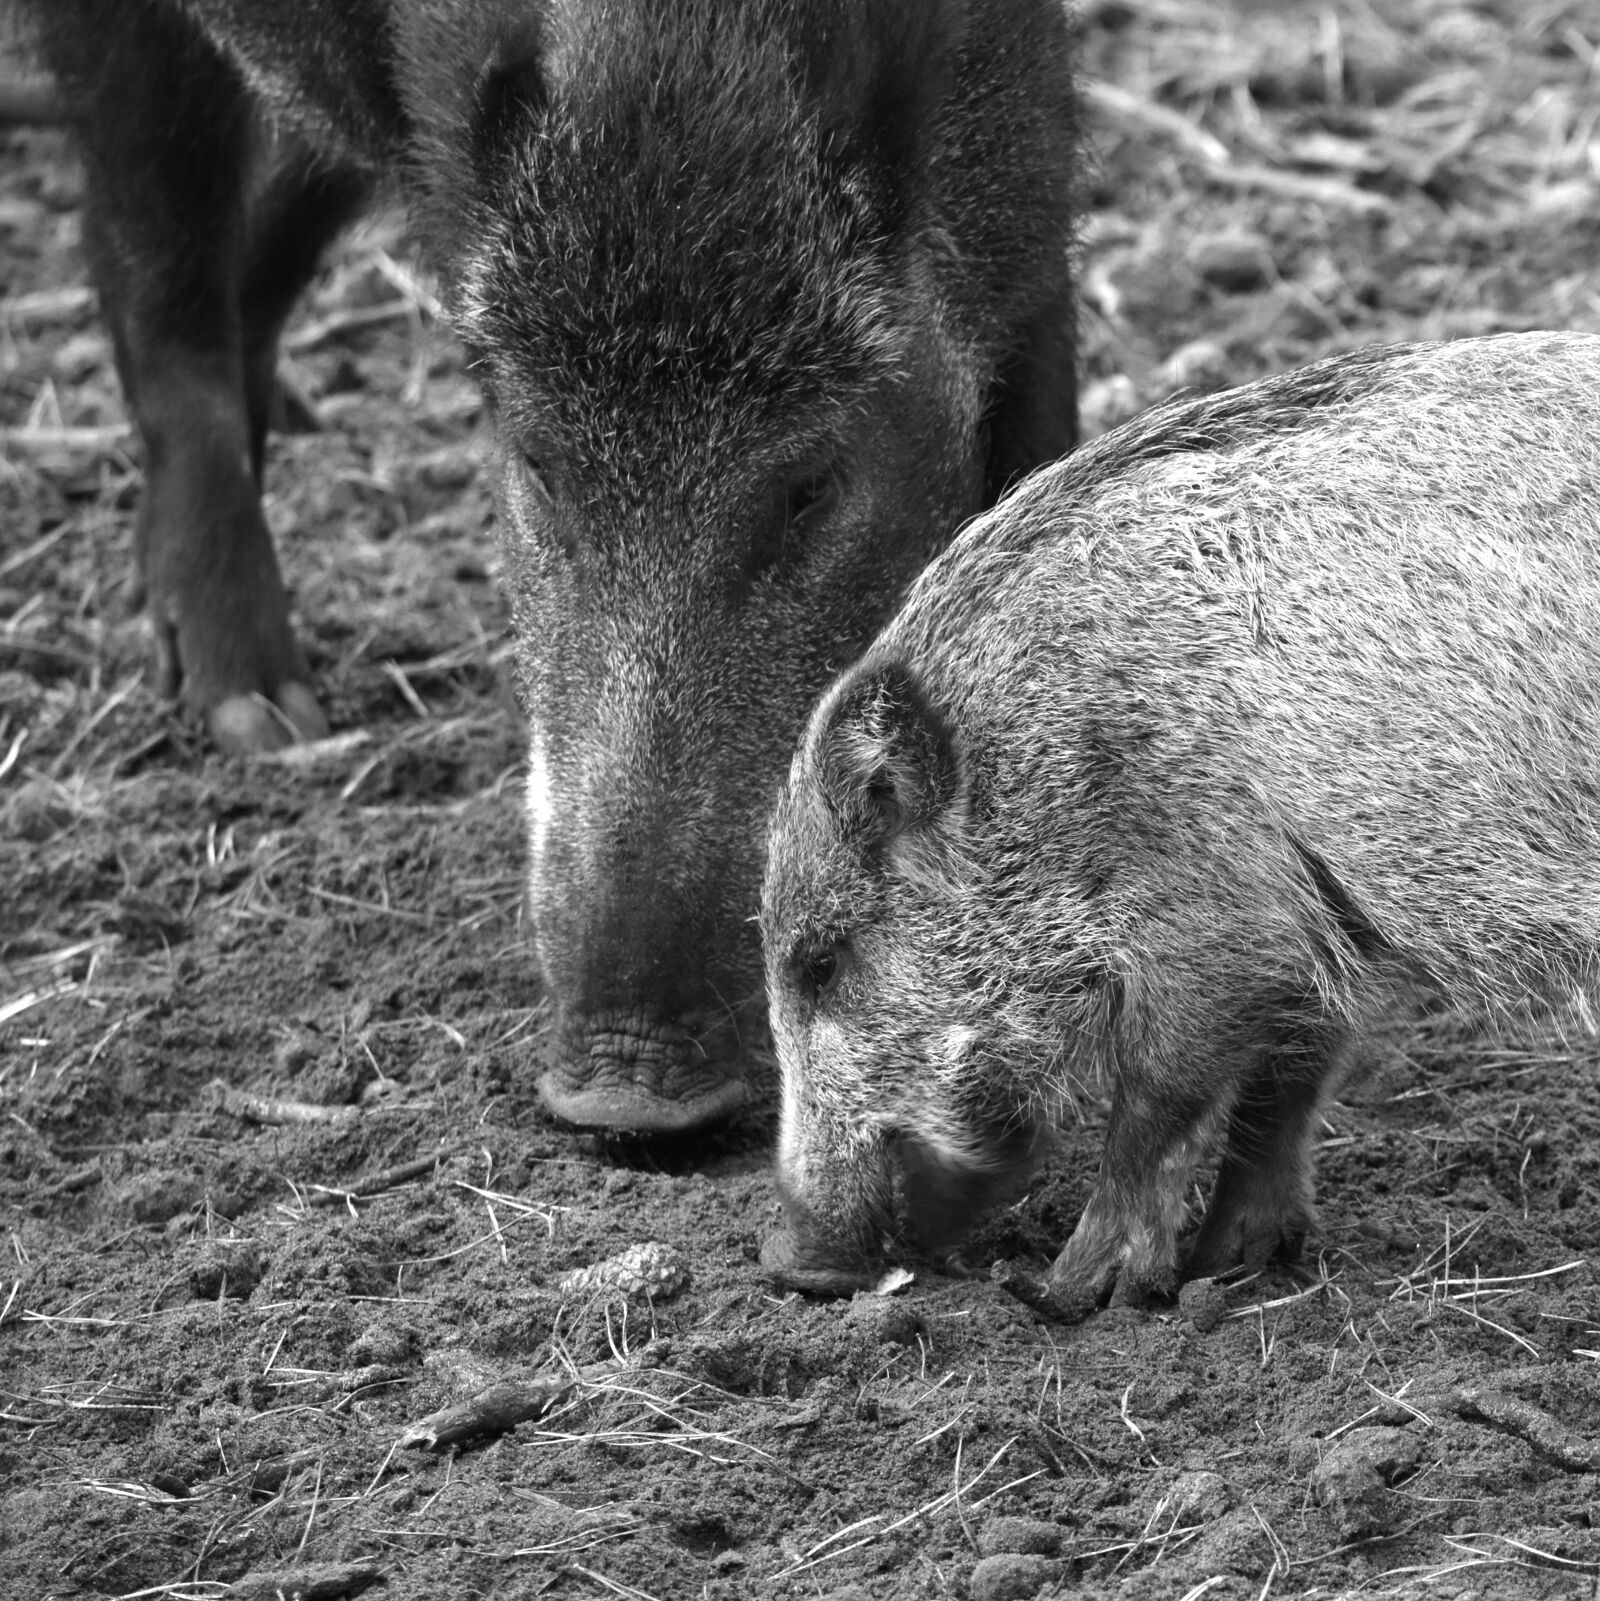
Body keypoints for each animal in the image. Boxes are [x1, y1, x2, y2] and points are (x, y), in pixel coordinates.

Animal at [17, 0, 1081, 1131]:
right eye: (535, 462)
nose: (623, 1092)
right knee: (152, 281)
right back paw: (256, 716)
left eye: (810, 485)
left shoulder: (1033, 199)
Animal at [760, 330, 1600, 1319]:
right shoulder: (1314, 924)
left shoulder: (1215, 921)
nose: (789, 1263)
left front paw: (1065, 1294)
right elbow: (1284, 1085)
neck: (1057, 766)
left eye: (822, 964)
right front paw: (1231, 1265)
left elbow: (1153, 1101)